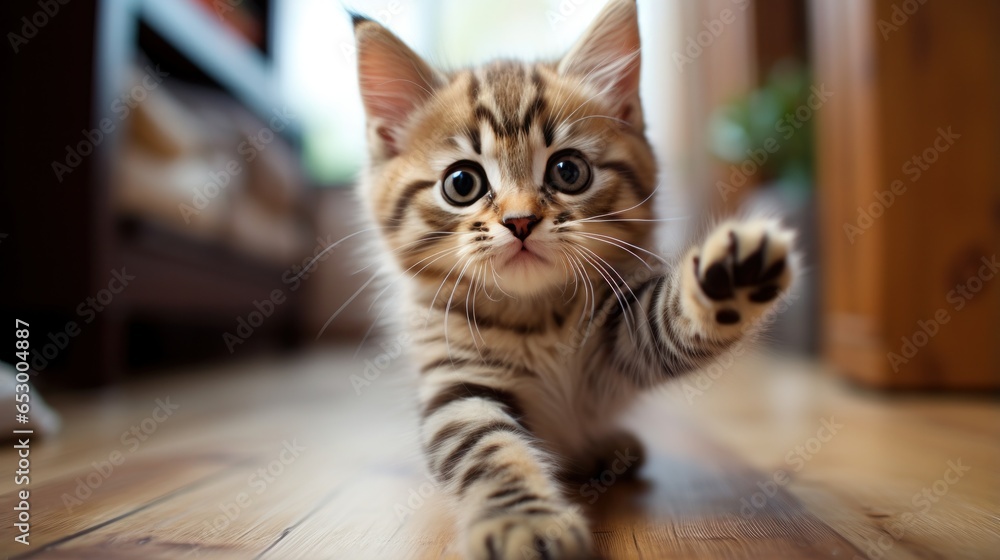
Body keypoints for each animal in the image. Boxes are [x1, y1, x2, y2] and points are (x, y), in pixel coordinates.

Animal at [352, 2, 796, 556]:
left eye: (568, 171)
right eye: (462, 183)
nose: (520, 221)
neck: (535, 314)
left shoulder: (619, 340)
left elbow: (664, 319)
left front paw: (729, 277)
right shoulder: (455, 382)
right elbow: (488, 450)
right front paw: (523, 523)